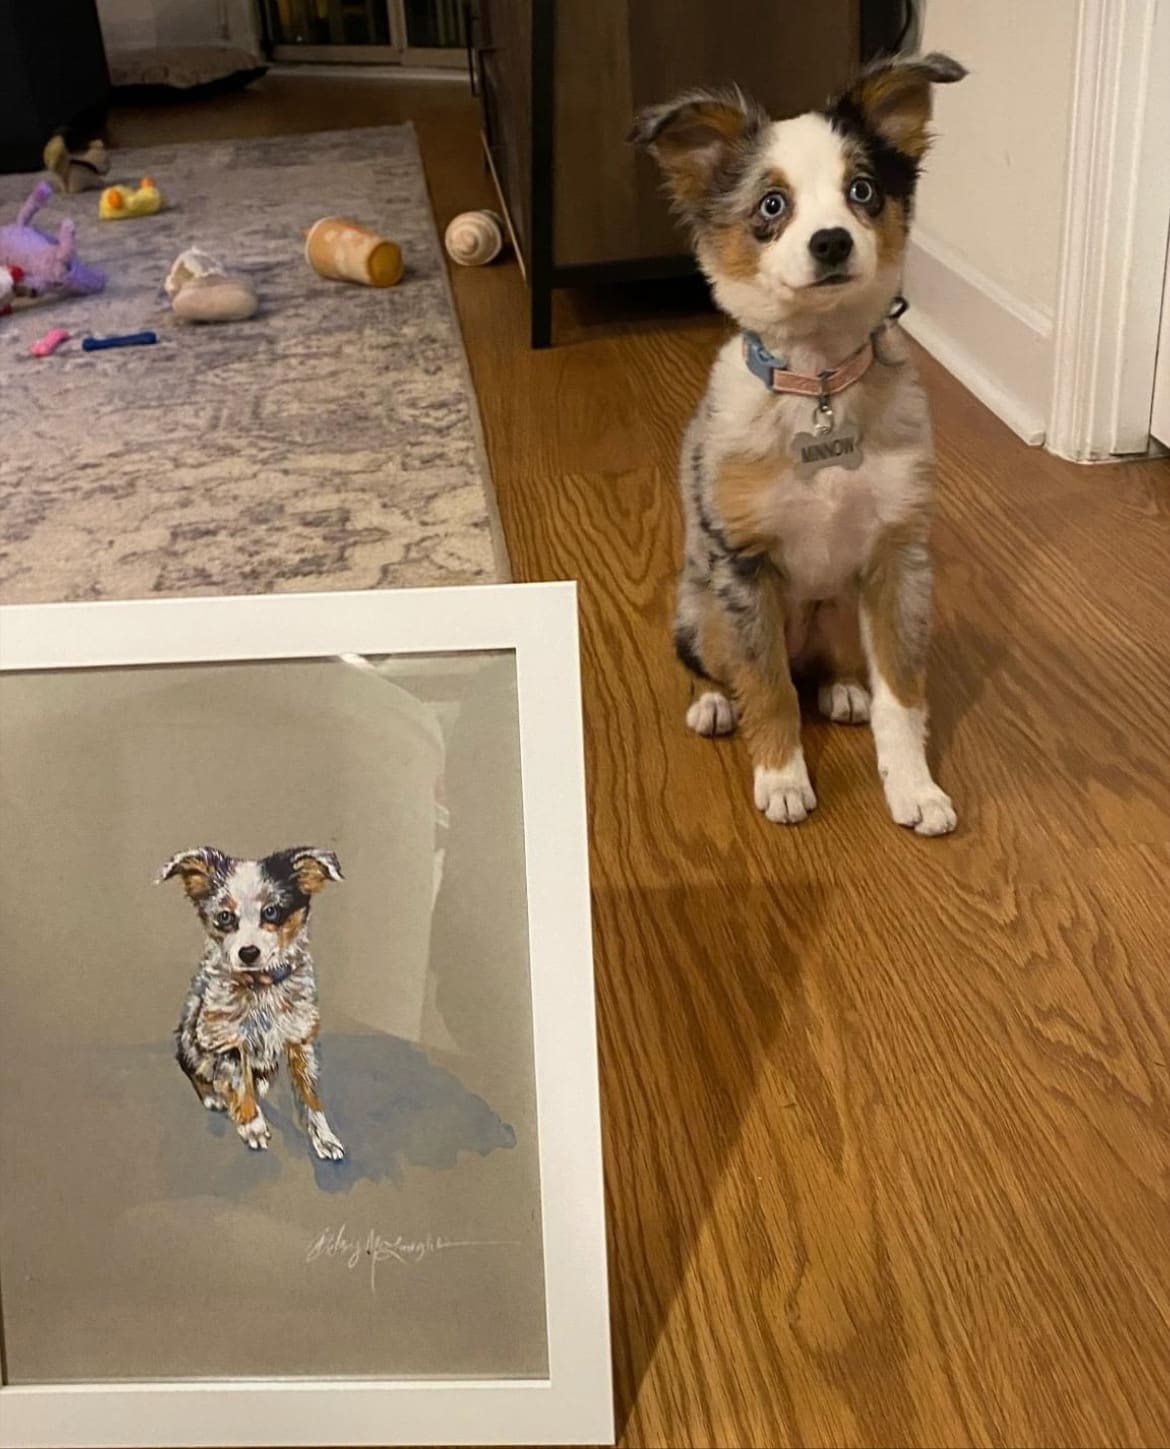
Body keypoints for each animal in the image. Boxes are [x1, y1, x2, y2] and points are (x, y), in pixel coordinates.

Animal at [158, 846, 345, 1159]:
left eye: (271, 911)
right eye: (224, 916)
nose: (248, 952)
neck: (260, 987)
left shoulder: (300, 1038)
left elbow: (309, 1093)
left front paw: (323, 1136)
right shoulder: (221, 1034)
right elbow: (237, 1077)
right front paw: (251, 1124)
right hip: (192, 1037)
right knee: (189, 1064)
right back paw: (213, 1095)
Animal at [635, 53, 962, 840]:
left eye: (863, 190)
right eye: (771, 206)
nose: (832, 242)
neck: (818, 382)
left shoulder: (899, 559)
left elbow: (903, 696)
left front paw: (915, 788)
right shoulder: (744, 568)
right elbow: (770, 690)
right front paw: (782, 778)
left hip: (840, 605)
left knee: (831, 669)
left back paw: (843, 687)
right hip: (701, 608)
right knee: (727, 669)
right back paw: (714, 704)